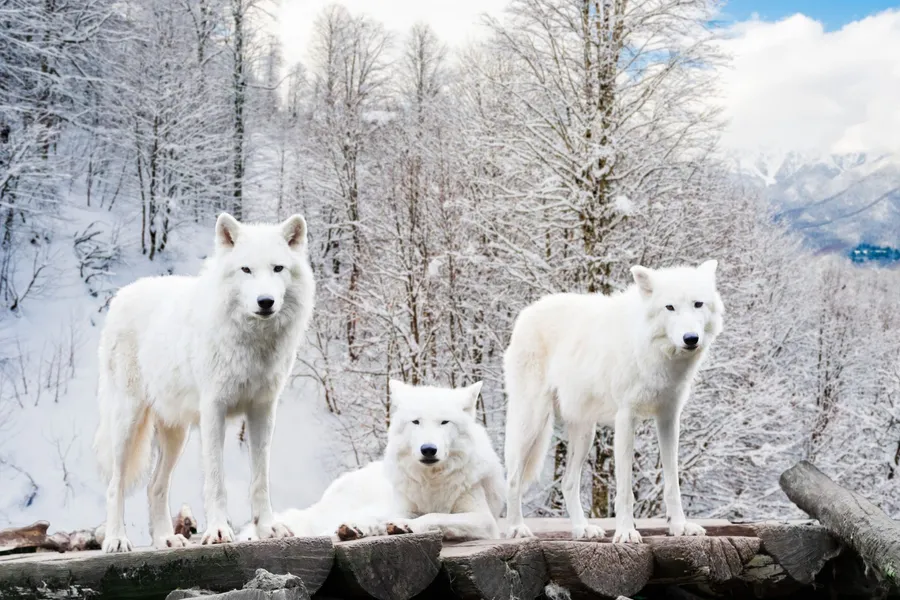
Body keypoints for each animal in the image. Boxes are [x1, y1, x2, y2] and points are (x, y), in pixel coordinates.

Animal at [93, 212, 315, 552]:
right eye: (246, 270)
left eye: (278, 268)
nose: (265, 301)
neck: (253, 343)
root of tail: (121, 295)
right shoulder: (214, 411)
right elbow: (216, 479)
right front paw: (219, 531)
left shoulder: (263, 410)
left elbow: (260, 479)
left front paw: (268, 528)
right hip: (127, 423)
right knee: (114, 485)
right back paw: (117, 540)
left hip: (176, 434)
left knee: (154, 486)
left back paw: (166, 539)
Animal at [238, 380, 505, 542]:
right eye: (416, 422)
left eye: (444, 422)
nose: (428, 450)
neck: (432, 482)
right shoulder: (403, 506)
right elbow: (418, 516)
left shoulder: (484, 519)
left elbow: (435, 517)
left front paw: (406, 526)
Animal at [503, 260, 724, 543]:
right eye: (670, 307)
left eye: (698, 304)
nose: (690, 338)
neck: (654, 352)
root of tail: (528, 311)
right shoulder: (626, 419)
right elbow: (625, 490)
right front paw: (627, 532)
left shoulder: (669, 419)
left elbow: (672, 483)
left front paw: (680, 527)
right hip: (533, 422)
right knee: (513, 479)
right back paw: (516, 528)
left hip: (584, 434)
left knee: (568, 483)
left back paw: (582, 529)